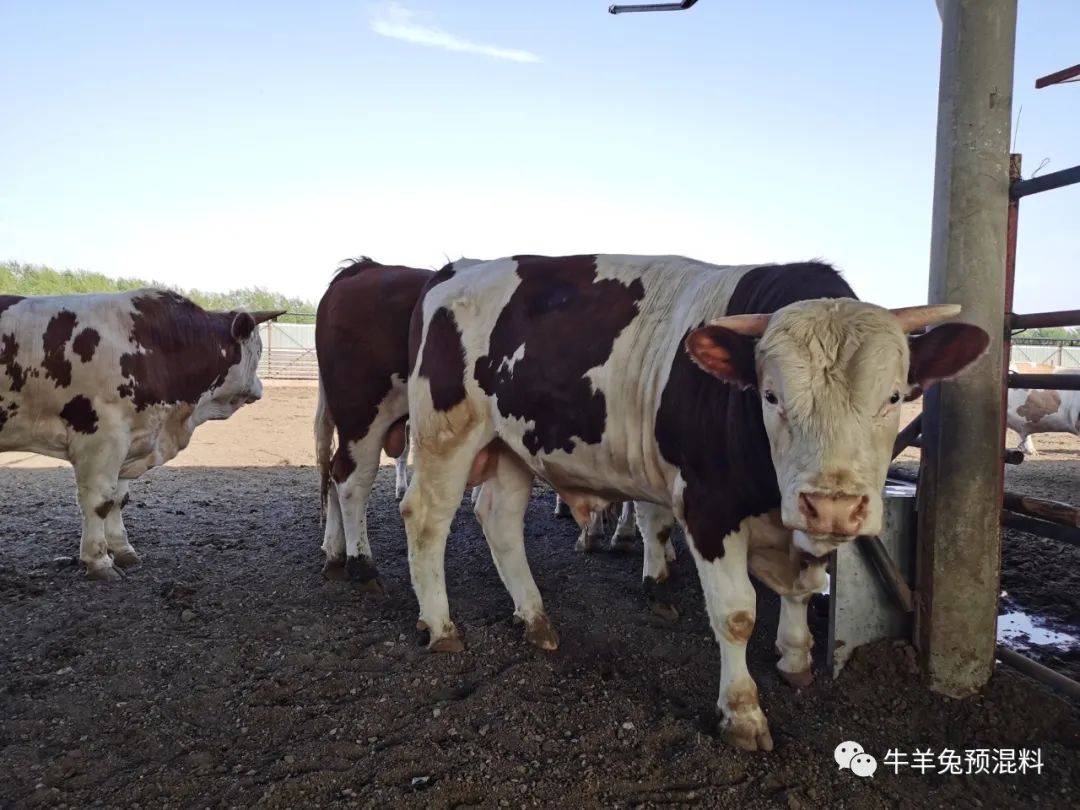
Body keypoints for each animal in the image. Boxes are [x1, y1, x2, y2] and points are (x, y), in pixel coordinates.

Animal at [0, 289, 282, 578]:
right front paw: (98, 561)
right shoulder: (101, 439)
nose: (260, 388)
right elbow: (100, 500)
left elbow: (118, 499)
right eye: (258, 351)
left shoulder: (131, 440)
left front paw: (123, 550)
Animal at [313, 258, 434, 591]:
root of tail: (368, 267)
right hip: (364, 414)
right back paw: (361, 563)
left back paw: (336, 553)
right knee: (351, 478)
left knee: (334, 469)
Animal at [399, 257, 989, 751]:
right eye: (771, 396)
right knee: (425, 518)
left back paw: (535, 618)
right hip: (445, 432)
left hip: (512, 447)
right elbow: (736, 615)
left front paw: (795, 655)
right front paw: (743, 713)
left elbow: (803, 585)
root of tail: (458, 268)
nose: (833, 505)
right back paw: (441, 625)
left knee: (498, 520)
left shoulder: (799, 522)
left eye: (894, 396)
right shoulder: (709, 509)